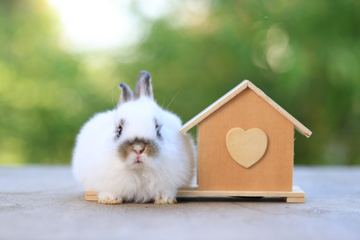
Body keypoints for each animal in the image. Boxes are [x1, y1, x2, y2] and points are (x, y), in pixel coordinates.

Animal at [71, 71, 195, 204]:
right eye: (119, 130)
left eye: (157, 129)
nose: (138, 149)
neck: (138, 171)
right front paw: (110, 199)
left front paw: (165, 199)